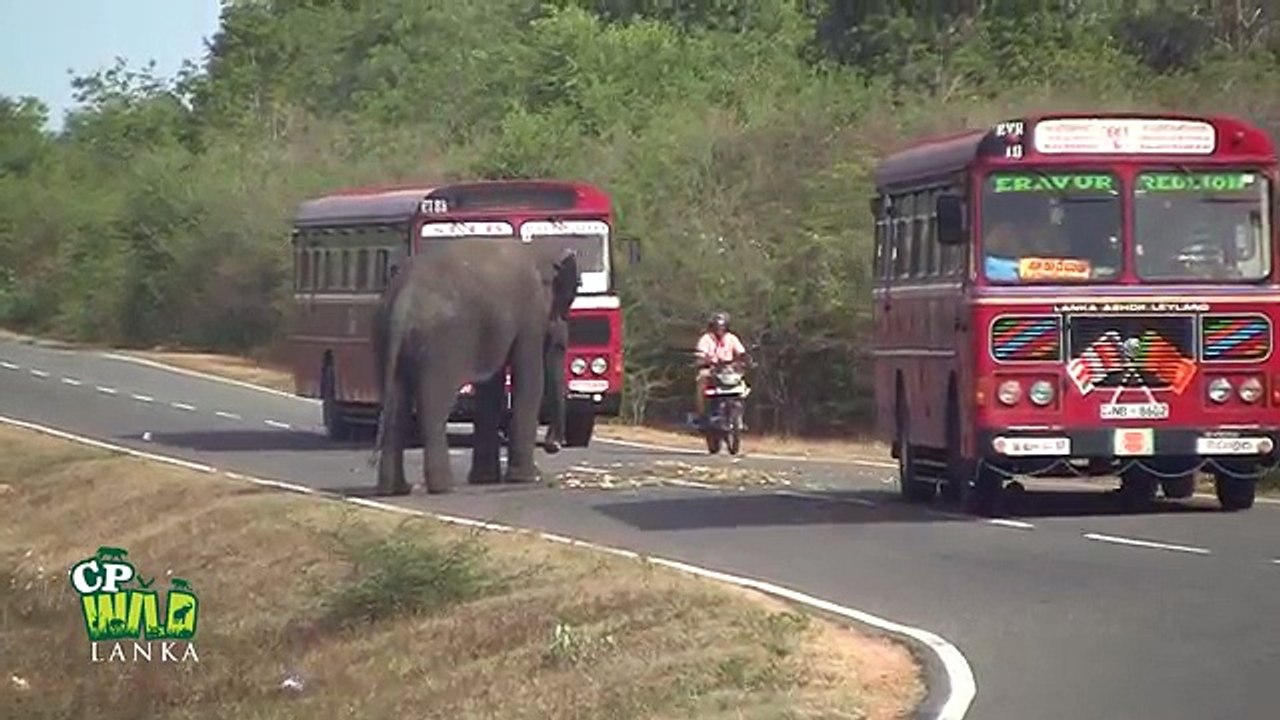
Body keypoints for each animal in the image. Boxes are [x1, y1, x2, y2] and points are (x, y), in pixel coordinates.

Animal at [371, 238, 579, 495]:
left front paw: (485, 479)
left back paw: (395, 490)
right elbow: (530, 380)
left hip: (383, 335)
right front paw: (529, 479)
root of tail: (403, 299)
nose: (554, 445)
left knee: (395, 406)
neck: (537, 249)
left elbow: (491, 389)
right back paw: (444, 487)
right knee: (434, 407)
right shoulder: (529, 315)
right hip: (440, 344)